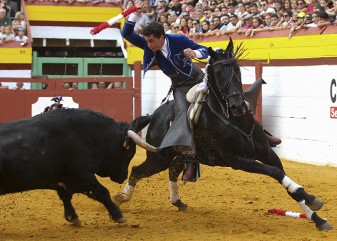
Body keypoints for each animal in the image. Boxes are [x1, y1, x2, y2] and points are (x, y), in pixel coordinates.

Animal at [0, 109, 155, 226]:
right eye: (129, 153)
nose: (122, 177)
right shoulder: (81, 176)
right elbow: (102, 192)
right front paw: (118, 215)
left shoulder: (63, 179)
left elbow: (65, 196)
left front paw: (72, 217)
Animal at [112, 39, 330, 232]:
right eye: (217, 73)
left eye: (238, 69)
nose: (237, 106)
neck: (236, 120)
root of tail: (156, 114)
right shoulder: (238, 160)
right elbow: (276, 173)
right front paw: (311, 200)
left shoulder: (268, 153)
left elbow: (283, 177)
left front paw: (317, 216)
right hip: (159, 157)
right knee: (138, 170)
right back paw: (121, 198)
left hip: (181, 155)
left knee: (172, 171)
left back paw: (178, 202)